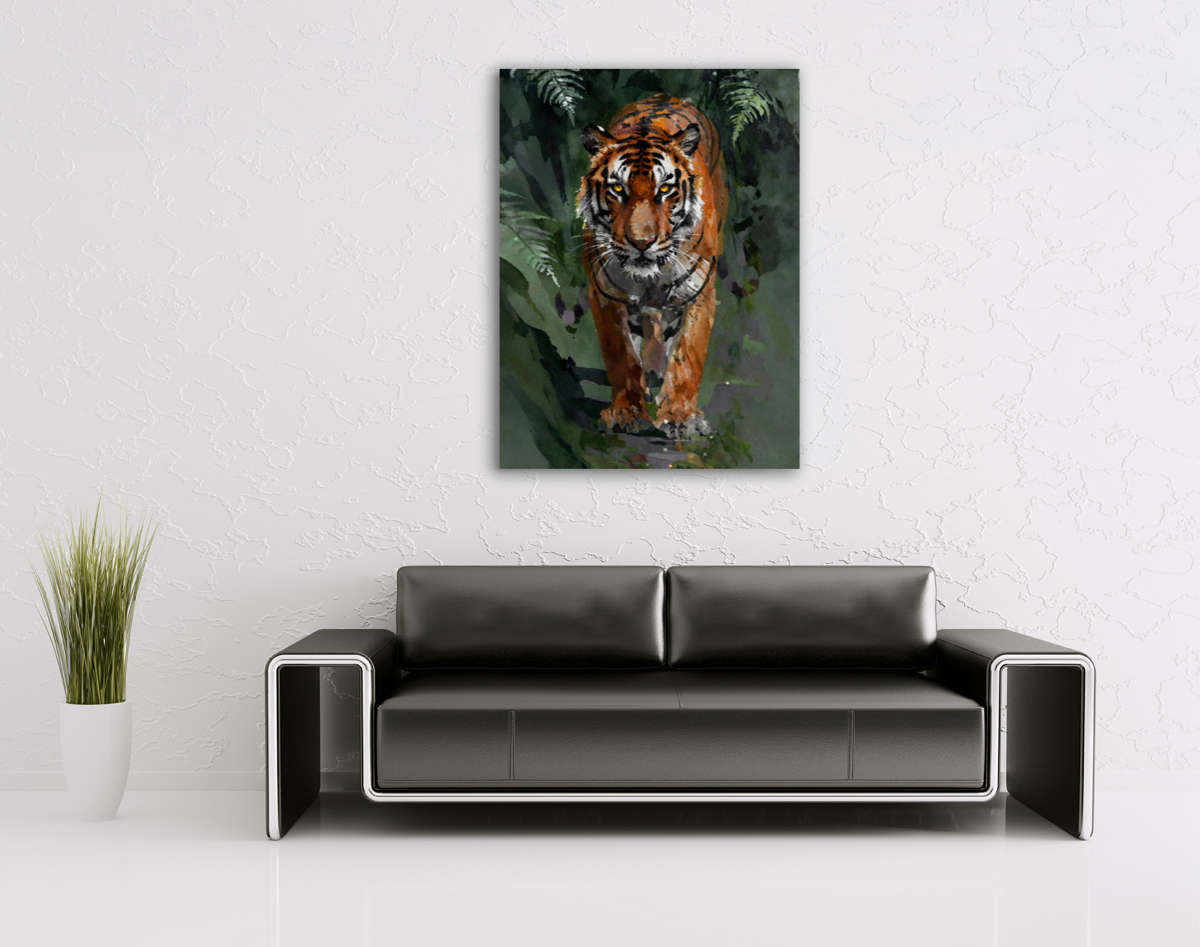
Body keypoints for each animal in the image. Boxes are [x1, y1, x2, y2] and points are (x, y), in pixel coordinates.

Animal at [575, 94, 728, 438]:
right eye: (618, 189)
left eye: (665, 190)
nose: (642, 242)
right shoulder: (606, 295)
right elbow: (622, 356)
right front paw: (627, 412)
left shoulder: (699, 292)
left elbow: (687, 356)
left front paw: (680, 417)